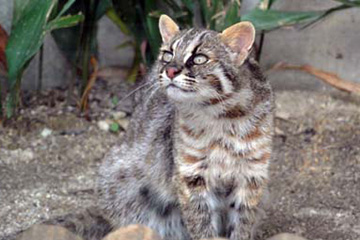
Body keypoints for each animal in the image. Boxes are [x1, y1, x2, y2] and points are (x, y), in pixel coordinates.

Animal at [97, 15, 274, 240]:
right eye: (167, 55)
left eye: (199, 59)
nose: (169, 70)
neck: (221, 117)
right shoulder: (190, 174)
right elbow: (201, 224)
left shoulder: (252, 174)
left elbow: (242, 223)